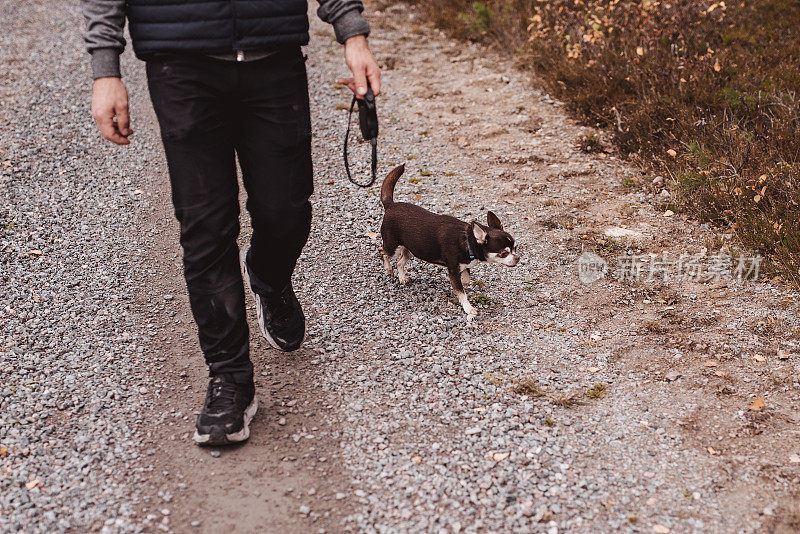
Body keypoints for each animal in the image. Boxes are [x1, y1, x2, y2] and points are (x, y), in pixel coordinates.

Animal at [380, 165, 520, 320]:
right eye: (504, 253)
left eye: (515, 248)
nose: (517, 257)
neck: (467, 240)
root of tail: (391, 205)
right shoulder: (453, 270)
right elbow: (462, 292)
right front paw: (468, 308)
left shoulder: (461, 268)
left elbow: (465, 280)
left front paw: (463, 283)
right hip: (393, 246)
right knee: (383, 253)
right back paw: (388, 268)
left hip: (412, 249)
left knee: (399, 262)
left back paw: (402, 277)